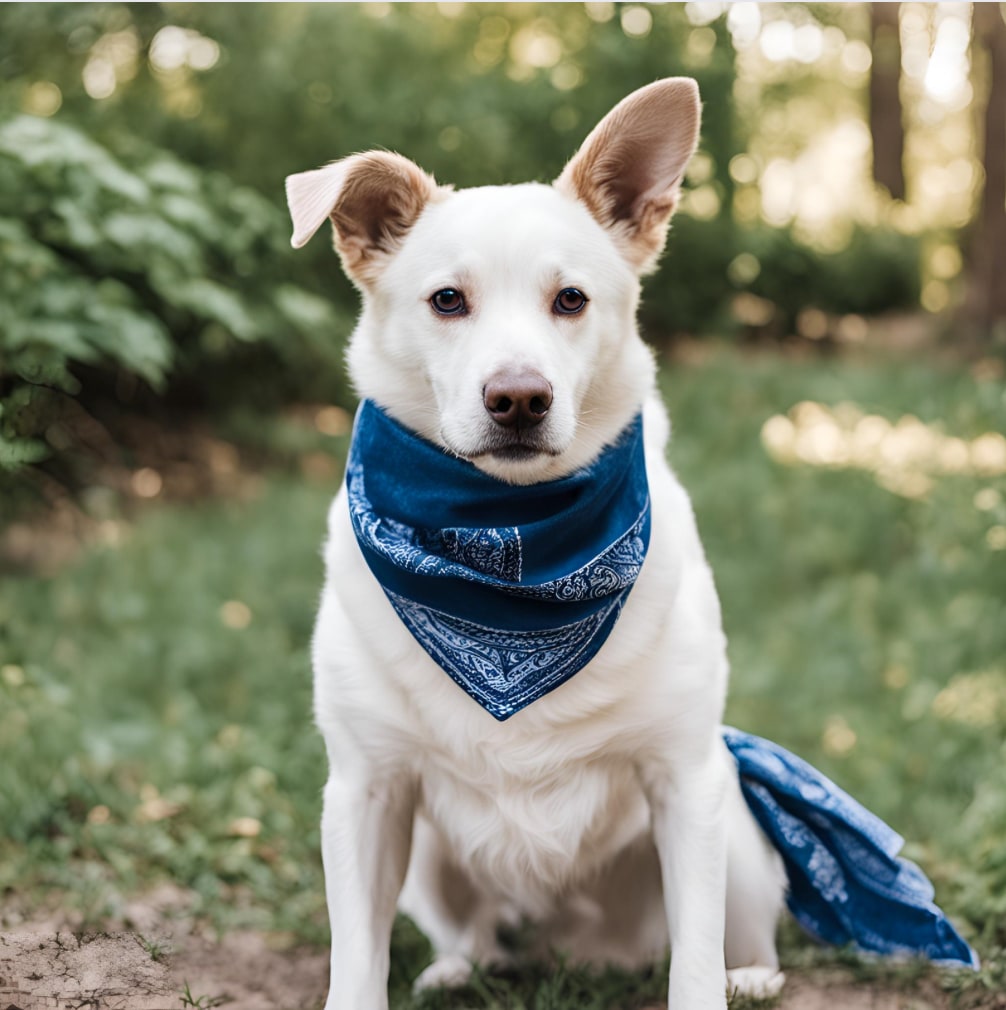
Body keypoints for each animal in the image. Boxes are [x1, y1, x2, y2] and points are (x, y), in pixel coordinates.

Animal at [286, 78, 791, 1010]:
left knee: (735, 943)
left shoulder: (685, 778)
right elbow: (356, 962)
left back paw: (752, 978)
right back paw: (460, 964)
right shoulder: (366, 791)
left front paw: (715, 982)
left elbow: (694, 964)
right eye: (448, 300)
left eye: (572, 300)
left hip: (737, 831)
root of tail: (577, 952)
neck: (504, 543)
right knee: (475, 934)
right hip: (427, 860)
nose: (518, 398)